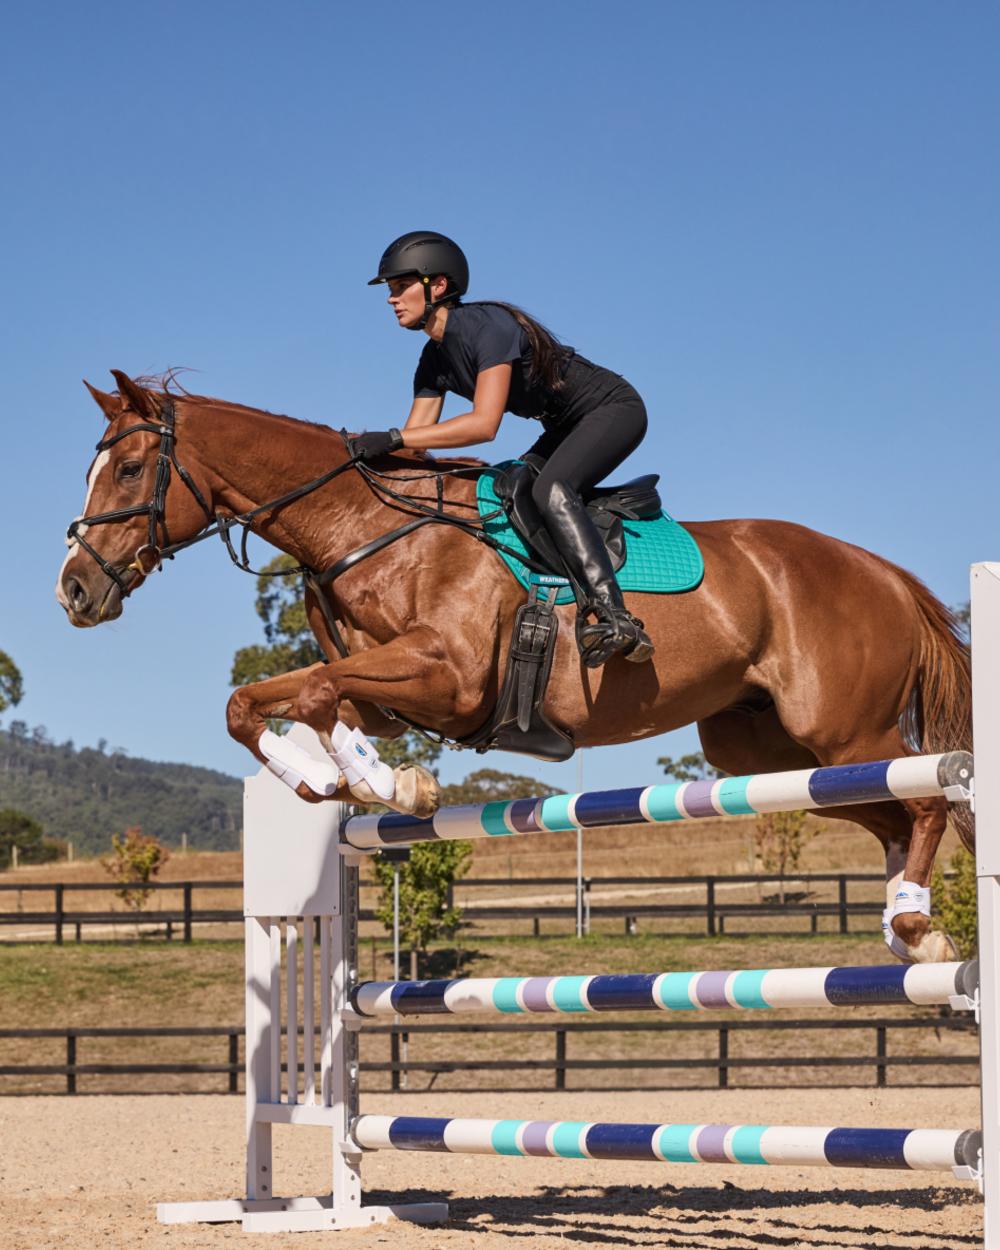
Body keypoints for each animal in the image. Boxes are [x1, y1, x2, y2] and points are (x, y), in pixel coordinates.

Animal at [56, 371, 972, 963]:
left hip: (843, 729)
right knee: (891, 816)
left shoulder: (451, 677)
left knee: (929, 795)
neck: (364, 527)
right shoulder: (397, 691)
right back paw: (905, 918)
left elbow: (312, 691)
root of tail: (884, 573)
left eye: (130, 469)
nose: (74, 589)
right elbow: (264, 702)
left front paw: (365, 779)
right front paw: (362, 781)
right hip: (765, 750)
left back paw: (918, 926)